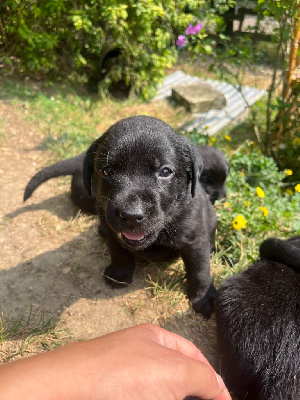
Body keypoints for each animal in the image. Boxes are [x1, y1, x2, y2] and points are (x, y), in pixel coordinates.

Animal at [82, 116, 218, 318]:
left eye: (165, 172)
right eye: (107, 171)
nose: (132, 215)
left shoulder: (195, 240)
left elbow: (200, 271)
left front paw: (203, 298)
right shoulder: (112, 230)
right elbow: (118, 251)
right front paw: (119, 274)